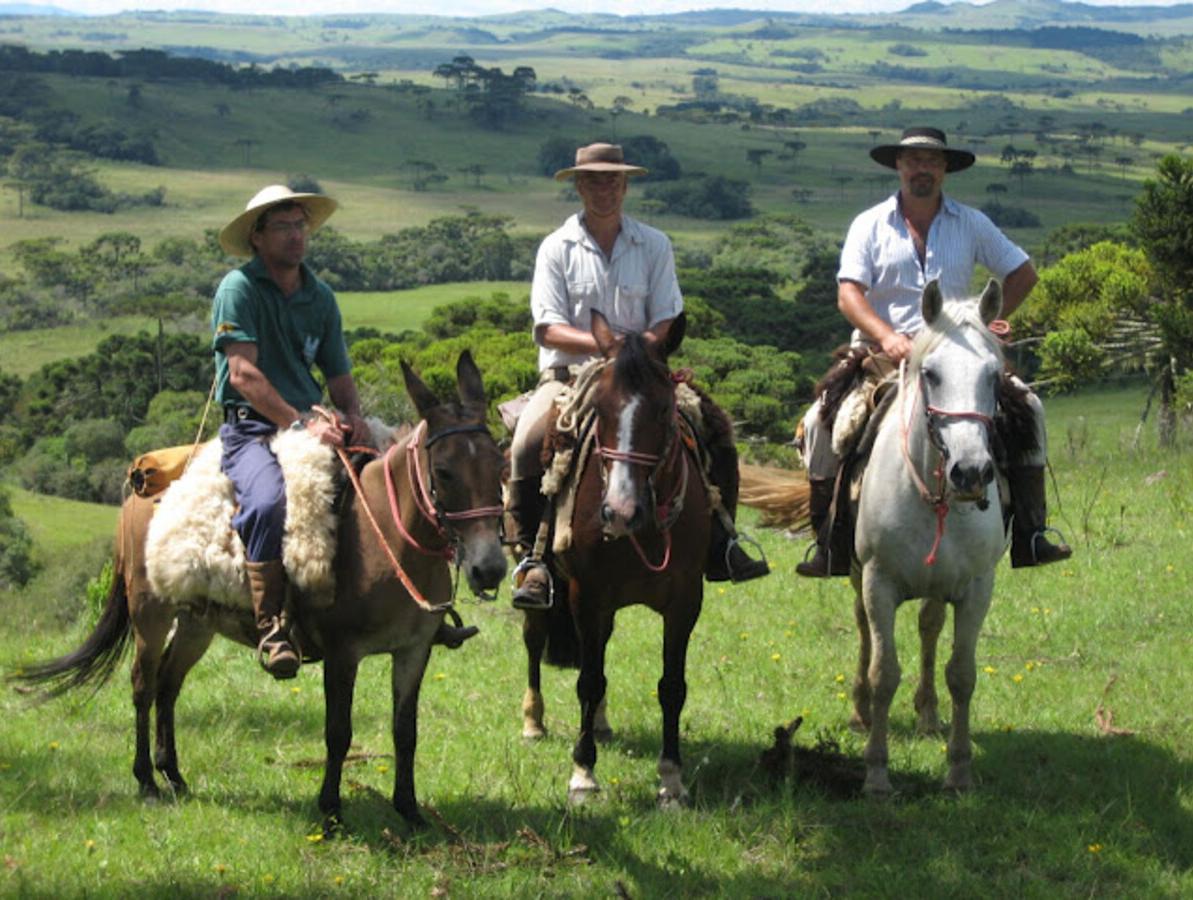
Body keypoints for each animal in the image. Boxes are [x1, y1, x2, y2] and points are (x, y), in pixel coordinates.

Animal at [16, 350, 505, 825]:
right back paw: (147, 783)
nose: (489, 568)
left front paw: (409, 810)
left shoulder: (413, 650)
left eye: (499, 463)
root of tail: (138, 495)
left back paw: (173, 775)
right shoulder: (342, 652)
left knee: (169, 684)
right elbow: (338, 732)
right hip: (150, 613)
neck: (386, 535)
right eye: (443, 471)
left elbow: (405, 731)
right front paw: (331, 811)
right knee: (143, 684)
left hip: (197, 623)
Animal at [522, 310, 706, 806]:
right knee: (536, 641)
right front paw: (583, 773)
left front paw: (671, 779)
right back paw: (533, 721)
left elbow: (672, 687)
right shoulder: (588, 595)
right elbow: (589, 680)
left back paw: (602, 726)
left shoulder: (685, 601)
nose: (620, 512)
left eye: (662, 409)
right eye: (600, 411)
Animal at [854, 279, 1011, 792]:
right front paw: (876, 773)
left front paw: (959, 769)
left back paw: (927, 716)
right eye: (931, 374)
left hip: (939, 585)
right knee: (863, 630)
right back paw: (861, 711)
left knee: (928, 627)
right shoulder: (878, 581)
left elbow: (961, 674)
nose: (971, 472)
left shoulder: (977, 587)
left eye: (993, 376)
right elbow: (884, 673)